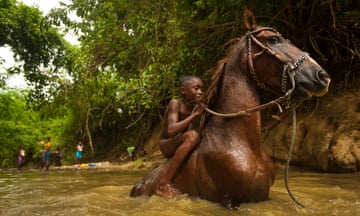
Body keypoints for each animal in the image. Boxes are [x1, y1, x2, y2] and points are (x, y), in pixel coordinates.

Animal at [131, 8, 330, 209]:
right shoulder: (228, 201)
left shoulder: (264, 197)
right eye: (273, 39)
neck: (240, 143)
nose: (322, 76)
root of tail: (138, 185)